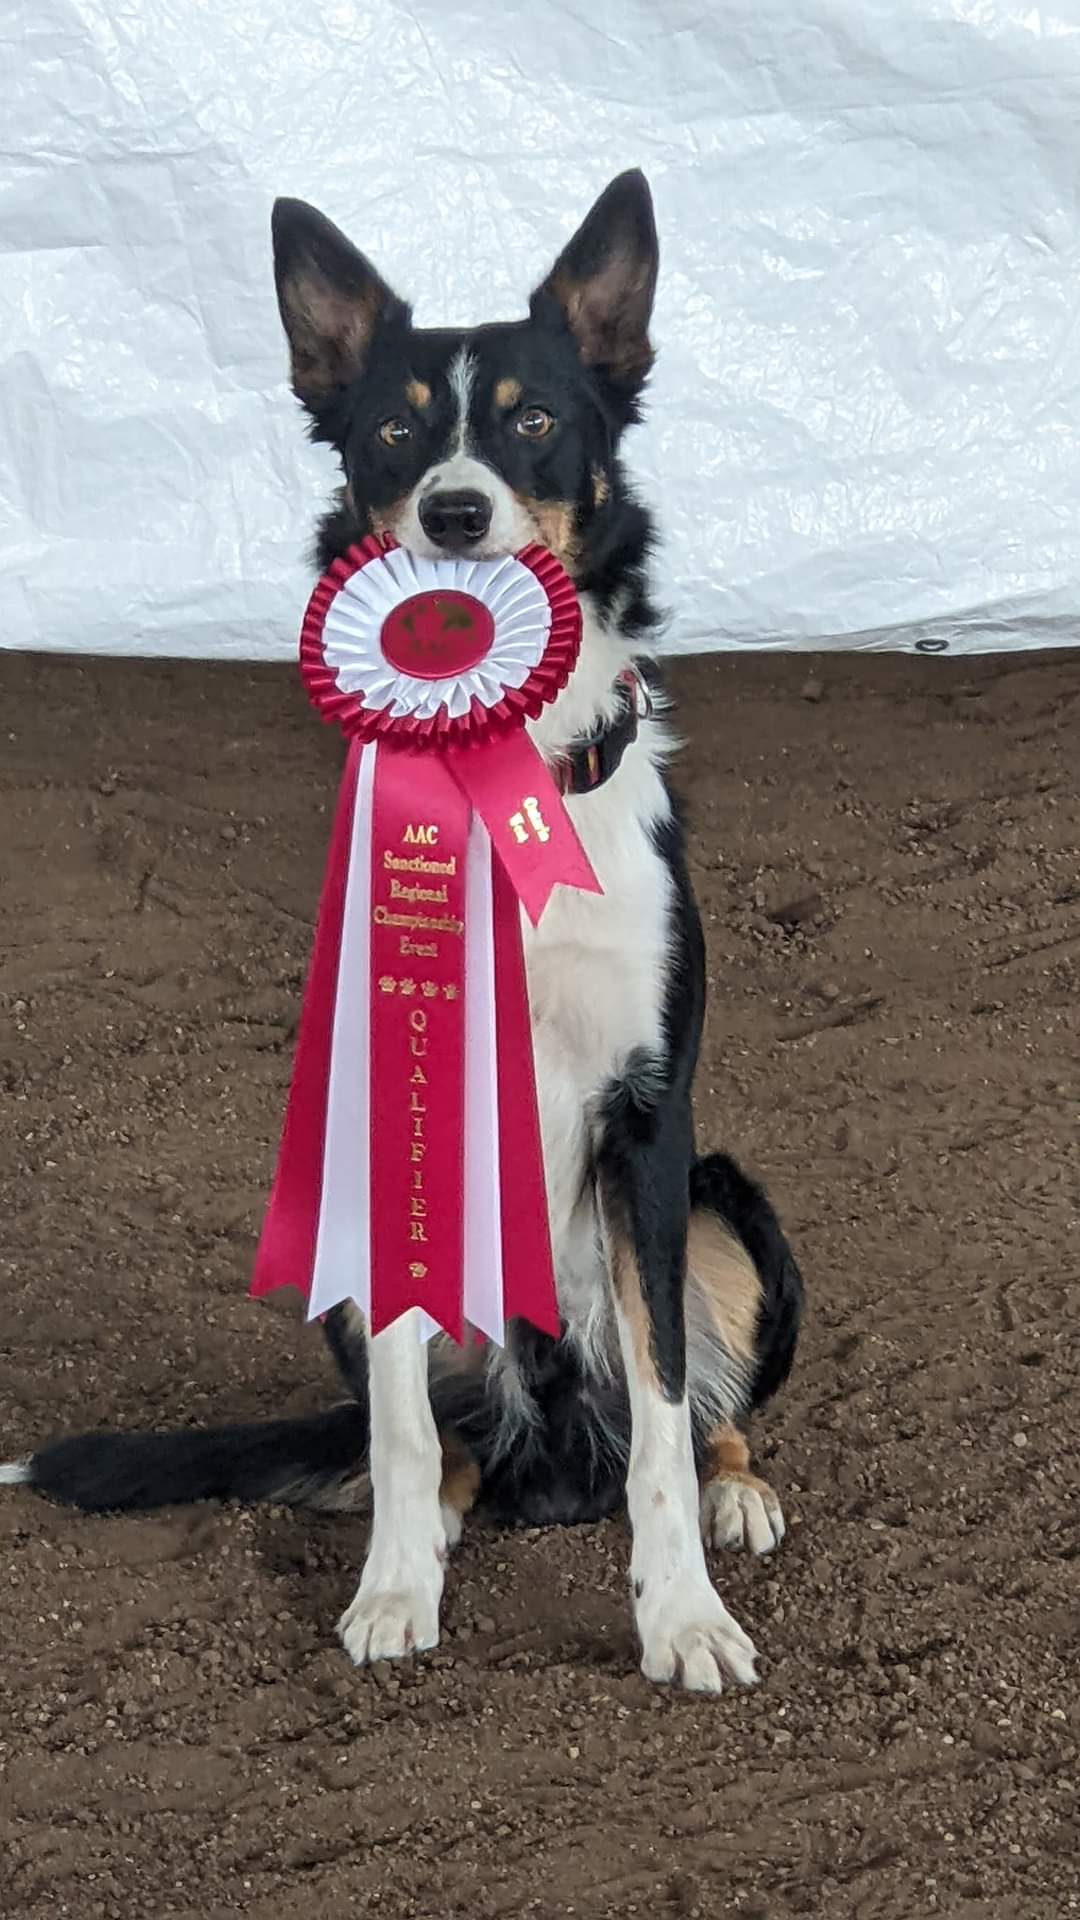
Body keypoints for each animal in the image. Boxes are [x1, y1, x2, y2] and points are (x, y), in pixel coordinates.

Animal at [2, 171, 803, 1693]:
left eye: (536, 420)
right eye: (394, 429)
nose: (456, 510)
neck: (505, 774)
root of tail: (552, 1444)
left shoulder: (649, 1121)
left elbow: (669, 1403)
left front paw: (681, 1615)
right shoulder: (385, 1111)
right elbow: (399, 1424)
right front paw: (393, 1590)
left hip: (725, 1205)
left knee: (690, 1414)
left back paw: (736, 1492)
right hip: (341, 1254)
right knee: (444, 1446)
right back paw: (423, 1530)